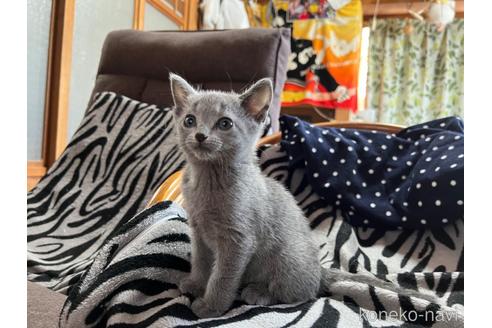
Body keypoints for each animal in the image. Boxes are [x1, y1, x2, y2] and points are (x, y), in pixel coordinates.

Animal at [169, 73, 438, 316]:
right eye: (190, 120)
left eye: (225, 124)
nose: (200, 135)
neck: (207, 181)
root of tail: (319, 269)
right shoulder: (198, 230)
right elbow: (202, 261)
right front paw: (196, 283)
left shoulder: (239, 240)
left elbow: (222, 276)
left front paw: (211, 306)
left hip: (287, 256)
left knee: (302, 292)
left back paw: (259, 292)